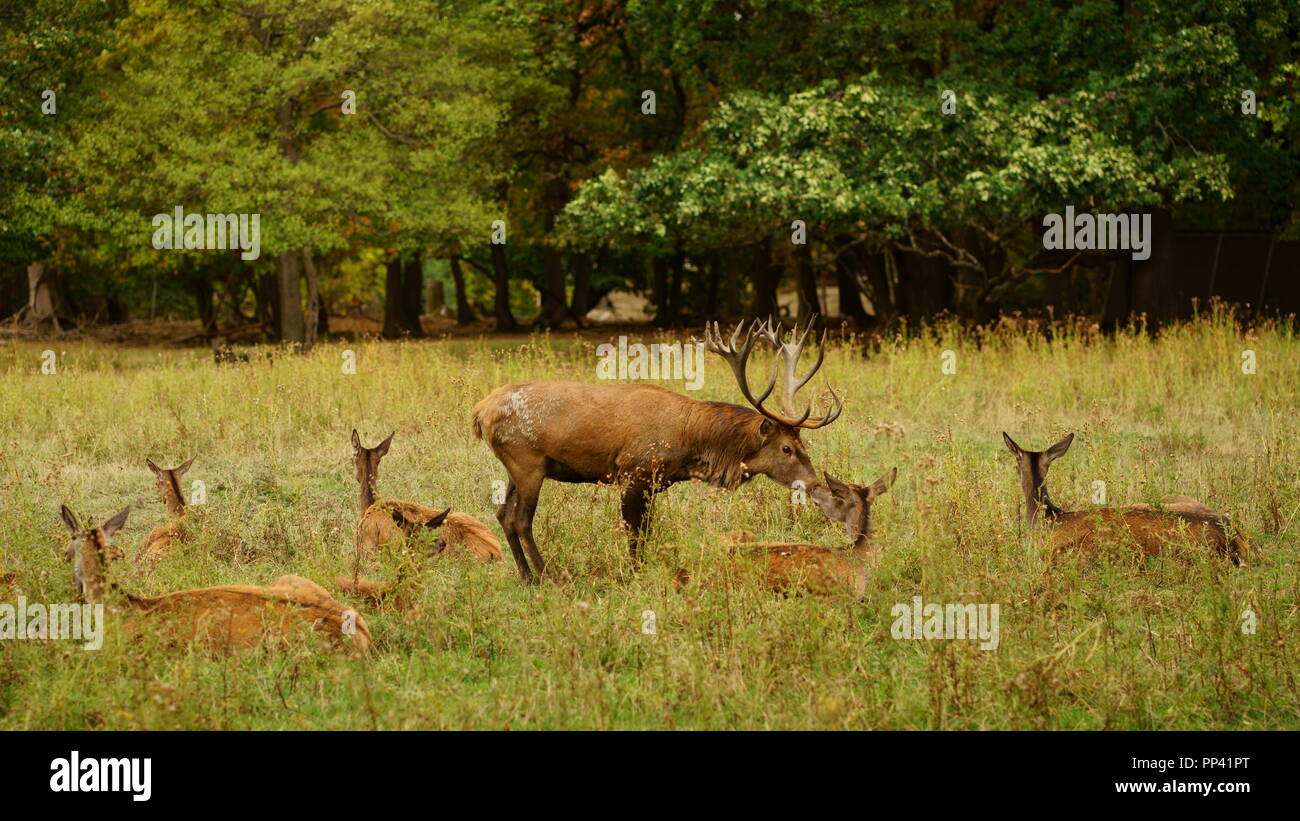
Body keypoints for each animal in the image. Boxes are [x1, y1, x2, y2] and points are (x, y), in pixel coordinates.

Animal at [475, 315, 842, 584]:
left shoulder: (654, 482)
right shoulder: (632, 471)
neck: (687, 443)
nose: (814, 484)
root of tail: (480, 411)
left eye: (802, 444)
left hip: (515, 467)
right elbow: (634, 533)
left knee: (503, 515)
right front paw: (635, 574)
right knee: (521, 519)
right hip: (527, 461)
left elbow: (647, 531)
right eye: (787, 449)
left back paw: (526, 577)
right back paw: (548, 576)